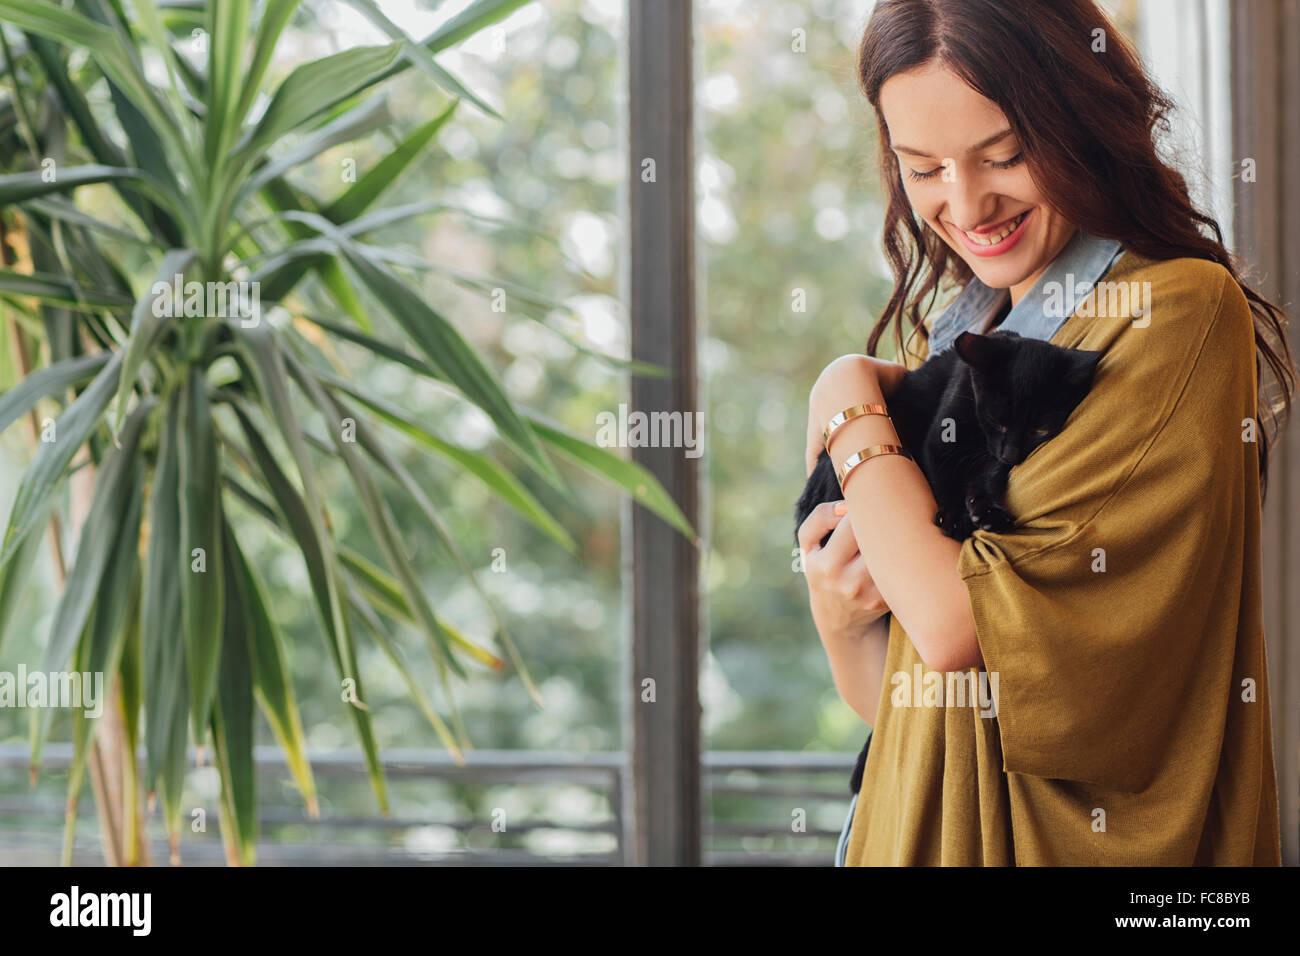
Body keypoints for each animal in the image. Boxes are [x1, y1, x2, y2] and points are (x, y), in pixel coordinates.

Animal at [795, 329, 1102, 790]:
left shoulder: (987, 461)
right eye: (998, 419)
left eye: (1041, 428)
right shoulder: (942, 440)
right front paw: (955, 517)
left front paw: (985, 511)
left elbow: (984, 478)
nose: (1012, 454)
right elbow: (943, 478)